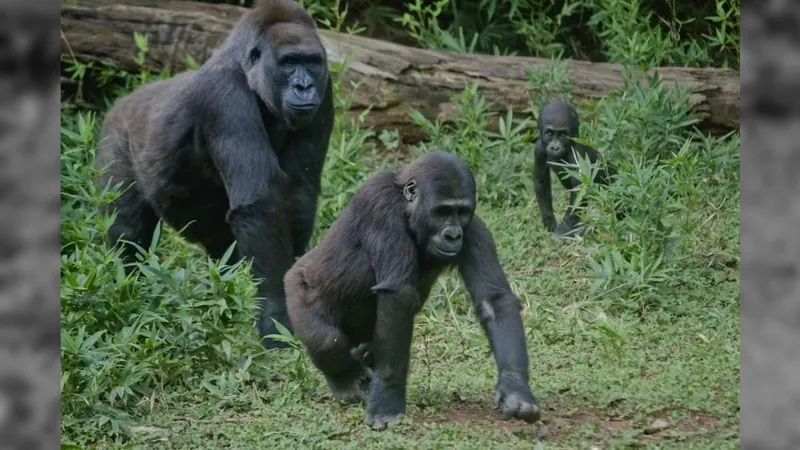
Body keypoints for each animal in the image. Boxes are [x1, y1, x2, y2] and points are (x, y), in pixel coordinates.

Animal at [95, 0, 332, 348]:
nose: (304, 86)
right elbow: (260, 206)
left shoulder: (326, 91)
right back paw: (123, 291)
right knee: (127, 231)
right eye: (289, 63)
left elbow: (299, 194)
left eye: (312, 62)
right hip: (115, 135)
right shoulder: (224, 97)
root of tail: (122, 101)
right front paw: (277, 314)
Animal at [536, 100, 620, 237]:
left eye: (563, 135)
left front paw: (563, 230)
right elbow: (541, 183)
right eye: (549, 133)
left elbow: (579, 193)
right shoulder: (538, 149)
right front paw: (549, 222)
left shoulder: (577, 154)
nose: (555, 147)